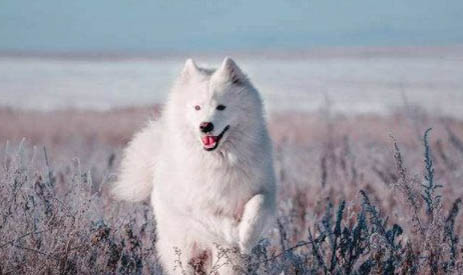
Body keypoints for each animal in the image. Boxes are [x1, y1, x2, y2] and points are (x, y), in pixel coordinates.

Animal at [113, 57, 276, 274]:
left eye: (221, 107)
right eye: (197, 107)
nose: (205, 126)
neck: (219, 160)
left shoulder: (265, 190)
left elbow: (258, 204)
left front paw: (246, 237)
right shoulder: (194, 203)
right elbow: (214, 218)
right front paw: (234, 232)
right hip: (182, 253)